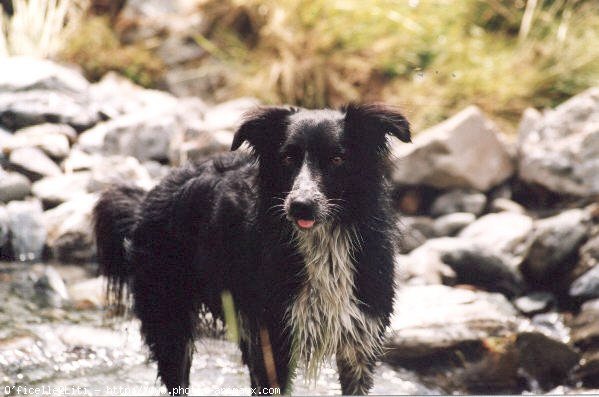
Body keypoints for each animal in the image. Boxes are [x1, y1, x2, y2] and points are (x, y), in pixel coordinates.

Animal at [92, 103, 412, 394]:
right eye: (287, 157)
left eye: (337, 158)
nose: (300, 206)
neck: (323, 240)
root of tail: (146, 199)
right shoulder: (272, 335)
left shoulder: (361, 338)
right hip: (168, 315)